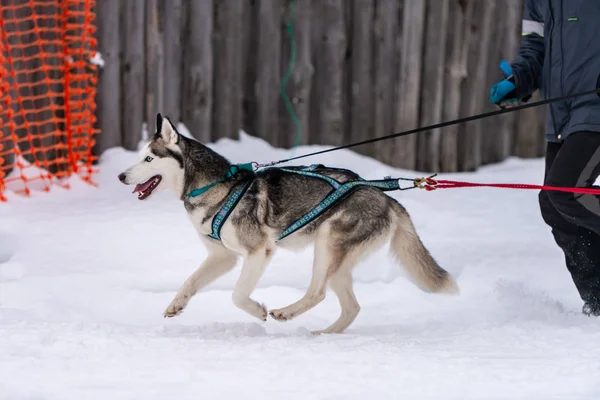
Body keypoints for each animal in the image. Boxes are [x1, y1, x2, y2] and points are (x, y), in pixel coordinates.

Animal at [117, 114, 458, 332]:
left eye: (149, 159)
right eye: (140, 157)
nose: (120, 176)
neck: (215, 186)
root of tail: (385, 196)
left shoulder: (258, 252)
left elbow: (237, 295)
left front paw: (257, 310)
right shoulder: (222, 256)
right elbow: (190, 281)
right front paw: (176, 305)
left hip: (327, 243)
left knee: (318, 293)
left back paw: (287, 313)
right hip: (337, 261)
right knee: (351, 307)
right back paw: (322, 336)